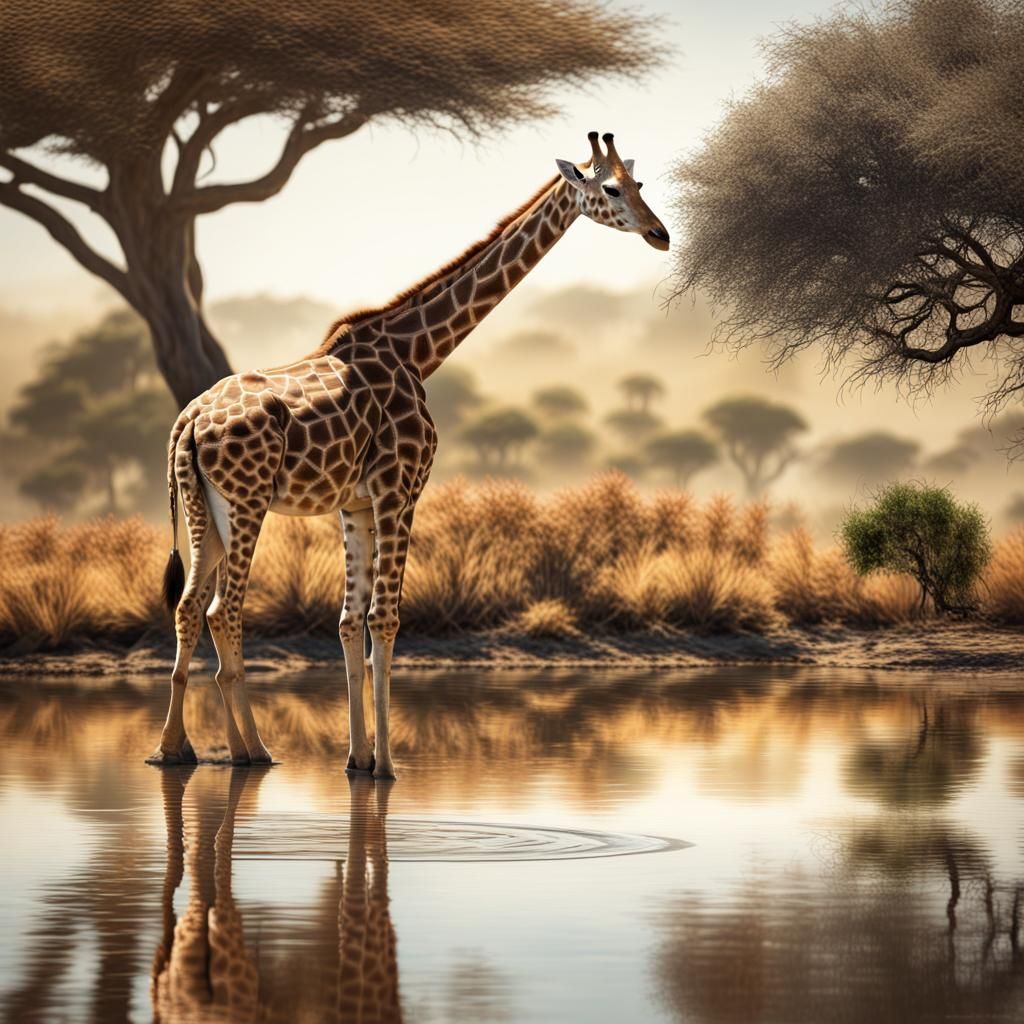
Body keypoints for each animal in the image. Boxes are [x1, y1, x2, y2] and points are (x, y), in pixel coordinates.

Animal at [148, 131, 669, 778]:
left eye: (640, 183)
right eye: (611, 189)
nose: (660, 234)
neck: (419, 351)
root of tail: (188, 421)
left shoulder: (355, 505)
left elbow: (350, 622)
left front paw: (357, 758)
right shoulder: (401, 490)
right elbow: (386, 617)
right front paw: (387, 765)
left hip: (205, 506)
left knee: (190, 605)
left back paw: (181, 748)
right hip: (246, 503)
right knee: (225, 608)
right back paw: (252, 750)